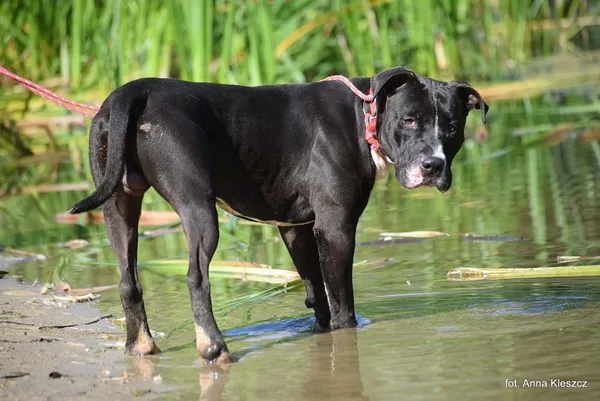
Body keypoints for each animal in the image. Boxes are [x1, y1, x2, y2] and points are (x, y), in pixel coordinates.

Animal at [69, 68, 488, 362]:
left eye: (452, 127)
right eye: (410, 120)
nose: (433, 166)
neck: (364, 115)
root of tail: (134, 90)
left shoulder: (296, 229)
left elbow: (316, 291)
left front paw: (320, 331)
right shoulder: (336, 228)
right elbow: (341, 300)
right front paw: (347, 332)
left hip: (119, 205)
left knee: (128, 280)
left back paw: (141, 346)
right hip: (197, 208)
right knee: (196, 277)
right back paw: (213, 347)